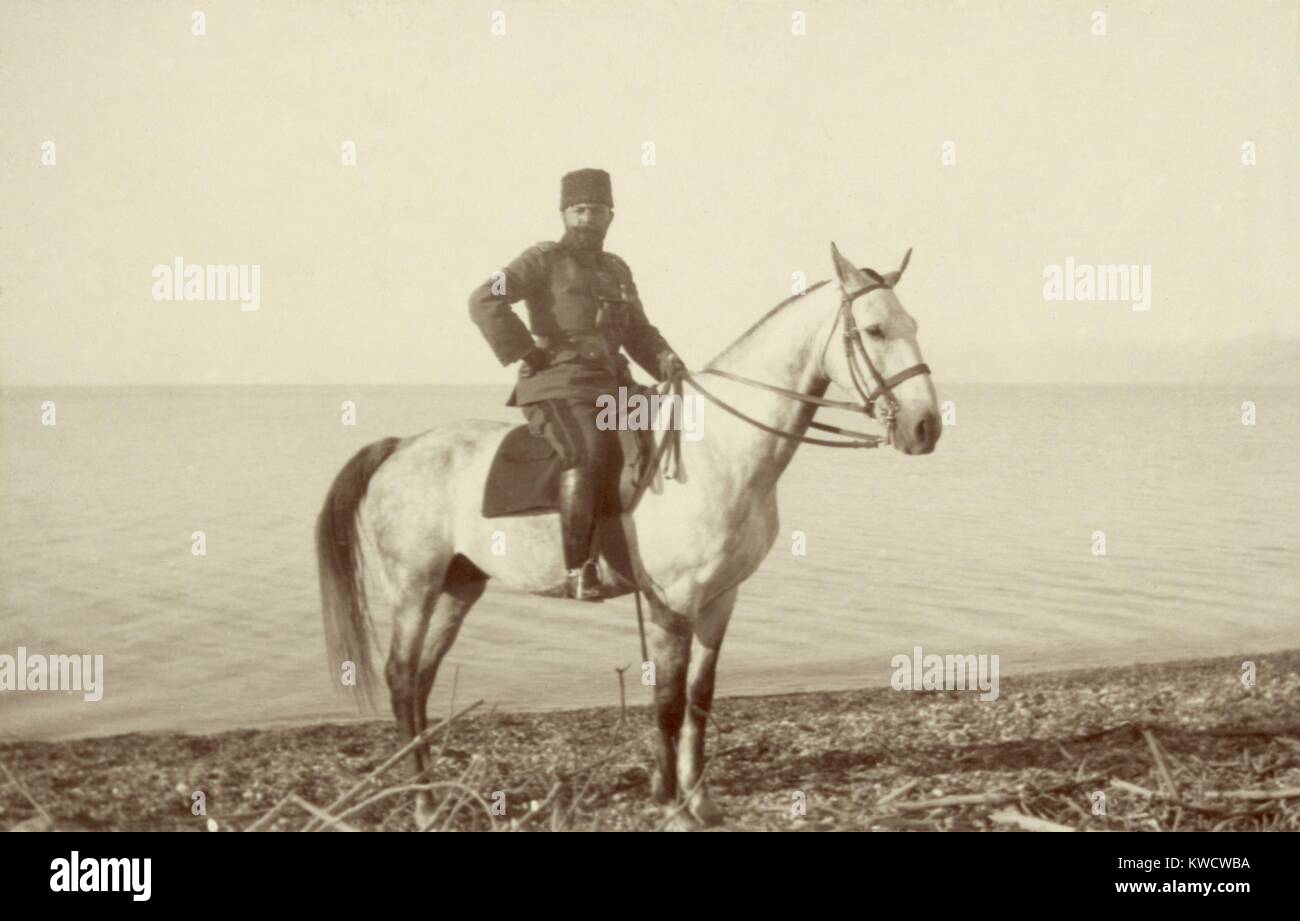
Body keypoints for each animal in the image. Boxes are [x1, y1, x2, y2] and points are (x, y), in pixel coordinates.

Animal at [318, 243, 941, 827]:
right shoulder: (675, 601)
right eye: (876, 329)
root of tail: (402, 446)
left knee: (421, 680)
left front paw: (700, 799)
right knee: (402, 677)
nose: (926, 427)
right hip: (414, 587)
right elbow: (666, 701)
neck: (719, 447)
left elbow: (699, 697)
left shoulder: (721, 598)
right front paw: (672, 805)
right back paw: (423, 803)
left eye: (914, 325)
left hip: (458, 586)